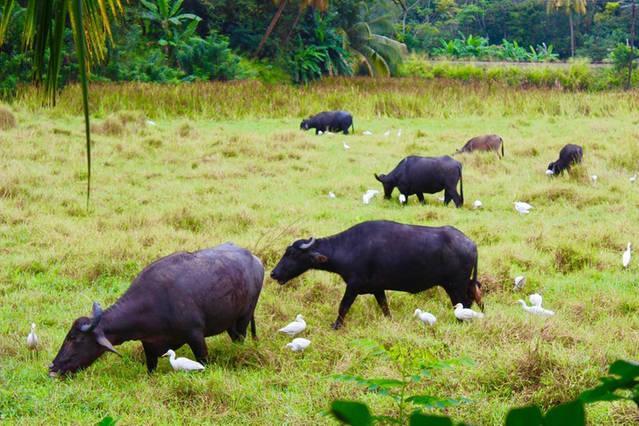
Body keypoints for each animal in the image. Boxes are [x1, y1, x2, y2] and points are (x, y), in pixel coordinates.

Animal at [47, 243, 262, 376]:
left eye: (75, 339)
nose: (53, 367)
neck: (153, 303)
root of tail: (255, 260)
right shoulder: (149, 345)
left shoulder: (195, 336)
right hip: (231, 324)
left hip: (244, 318)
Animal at [270, 220, 484, 330]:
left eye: (292, 254)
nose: (273, 273)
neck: (348, 248)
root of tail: (471, 243)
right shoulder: (377, 289)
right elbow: (385, 307)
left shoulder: (353, 286)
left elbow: (343, 306)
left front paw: (336, 326)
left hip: (455, 285)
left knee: (465, 303)